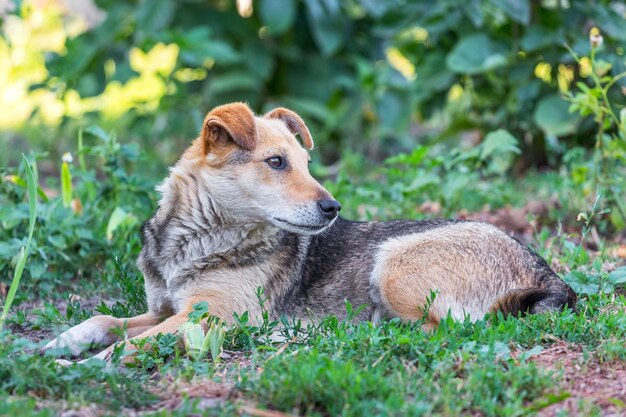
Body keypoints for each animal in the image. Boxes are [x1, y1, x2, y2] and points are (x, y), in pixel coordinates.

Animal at [41, 101, 572, 360]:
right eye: (276, 162)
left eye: (307, 164)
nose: (333, 207)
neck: (195, 240)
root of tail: (548, 274)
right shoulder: (166, 310)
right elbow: (105, 321)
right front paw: (60, 345)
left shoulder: (205, 318)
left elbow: (129, 345)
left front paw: (87, 367)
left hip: (393, 262)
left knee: (446, 330)